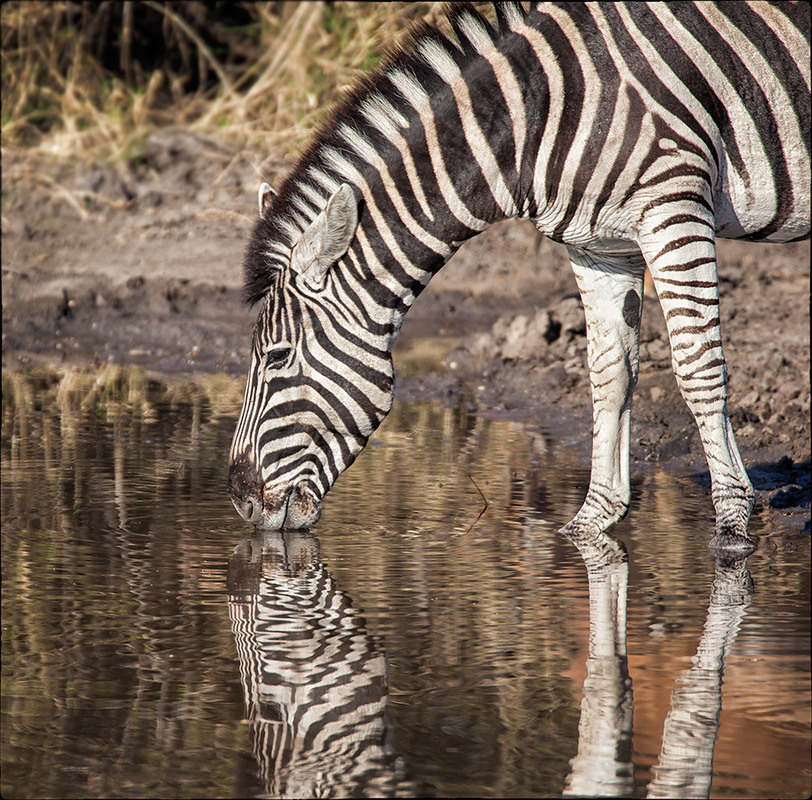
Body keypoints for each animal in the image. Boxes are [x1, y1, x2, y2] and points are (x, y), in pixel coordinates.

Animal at [230, 1, 812, 552]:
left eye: (277, 358)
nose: (240, 504)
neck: (535, 120)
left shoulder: (674, 208)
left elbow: (697, 368)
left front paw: (733, 524)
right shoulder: (600, 245)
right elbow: (609, 376)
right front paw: (590, 525)